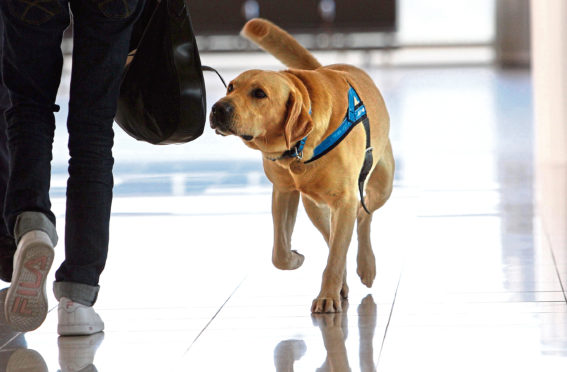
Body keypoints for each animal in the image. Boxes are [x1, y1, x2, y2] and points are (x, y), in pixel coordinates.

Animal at [210, 18, 394, 312]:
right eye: (230, 87)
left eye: (259, 93)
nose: (217, 108)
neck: (297, 150)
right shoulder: (284, 191)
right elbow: (280, 252)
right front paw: (297, 259)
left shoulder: (345, 199)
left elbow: (337, 252)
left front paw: (327, 296)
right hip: (314, 206)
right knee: (332, 234)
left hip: (381, 183)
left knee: (363, 216)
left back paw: (366, 265)